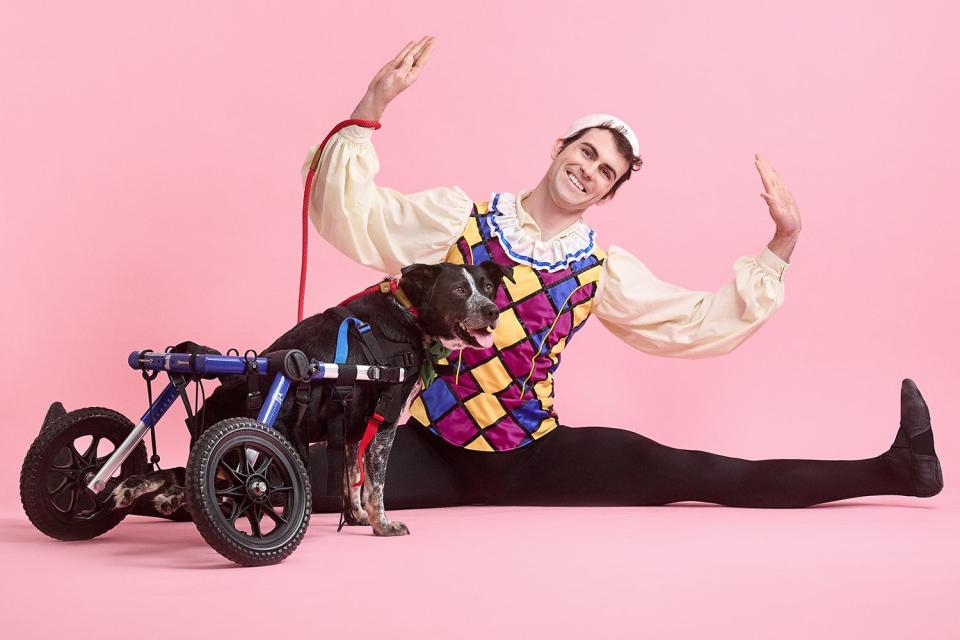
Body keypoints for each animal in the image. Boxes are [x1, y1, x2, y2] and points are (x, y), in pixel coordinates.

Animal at [111, 260, 510, 536]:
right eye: (458, 291)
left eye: (488, 287)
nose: (492, 310)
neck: (407, 313)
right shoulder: (384, 422)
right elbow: (376, 484)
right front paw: (382, 524)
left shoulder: (352, 429)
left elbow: (352, 478)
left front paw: (356, 518)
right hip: (269, 456)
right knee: (212, 489)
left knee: (181, 477)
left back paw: (137, 490)